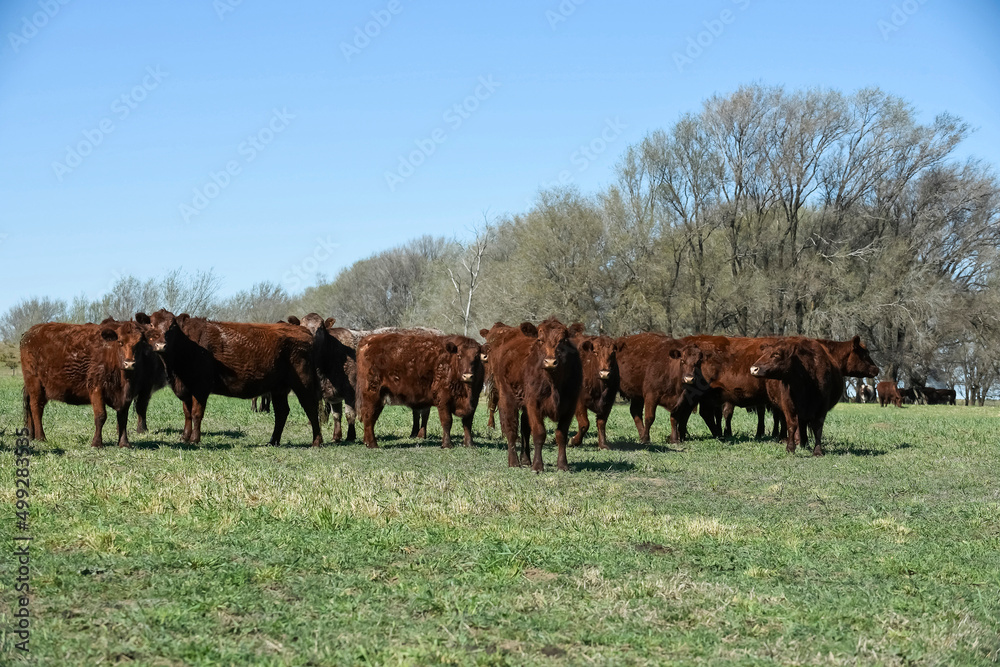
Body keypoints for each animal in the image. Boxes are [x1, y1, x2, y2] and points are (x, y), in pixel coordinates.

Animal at [21, 320, 154, 448]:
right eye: (120, 342)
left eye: (139, 343)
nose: (129, 363)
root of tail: (31, 332)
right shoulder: (96, 388)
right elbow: (101, 416)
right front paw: (97, 443)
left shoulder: (127, 395)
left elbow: (123, 418)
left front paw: (124, 443)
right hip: (35, 383)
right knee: (36, 408)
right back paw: (41, 437)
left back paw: (31, 435)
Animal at [137, 310, 322, 446]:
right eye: (151, 324)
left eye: (172, 326)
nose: (161, 345)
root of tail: (301, 330)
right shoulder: (185, 388)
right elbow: (187, 413)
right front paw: (184, 437)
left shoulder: (200, 387)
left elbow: (196, 413)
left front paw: (195, 439)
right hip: (279, 388)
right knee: (282, 412)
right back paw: (273, 441)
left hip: (303, 382)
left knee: (311, 408)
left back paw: (317, 442)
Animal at [358, 332, 486, 448]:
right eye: (459, 355)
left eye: (476, 357)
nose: (468, 376)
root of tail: (368, 340)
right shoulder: (443, 400)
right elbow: (447, 422)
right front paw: (447, 444)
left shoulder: (474, 401)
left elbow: (467, 423)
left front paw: (469, 444)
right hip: (372, 394)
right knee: (369, 417)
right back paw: (372, 444)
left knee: (370, 418)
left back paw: (367, 442)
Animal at [486, 320, 584, 472]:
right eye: (540, 340)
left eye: (562, 341)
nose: (550, 362)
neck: (553, 382)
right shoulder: (534, 403)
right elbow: (539, 433)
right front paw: (538, 466)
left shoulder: (570, 406)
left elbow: (561, 434)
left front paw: (563, 465)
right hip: (506, 397)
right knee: (511, 429)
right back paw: (513, 462)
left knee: (524, 428)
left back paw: (526, 459)